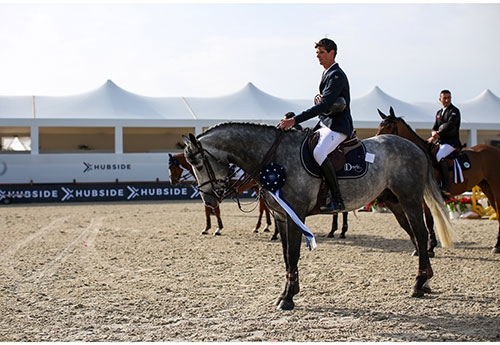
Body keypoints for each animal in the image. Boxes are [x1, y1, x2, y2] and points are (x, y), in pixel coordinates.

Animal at [183, 121, 454, 310]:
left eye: (199, 164)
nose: (209, 200)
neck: (273, 158)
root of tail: (416, 148)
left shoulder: (295, 214)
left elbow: (293, 255)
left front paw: (288, 298)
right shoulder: (281, 217)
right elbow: (286, 256)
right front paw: (289, 292)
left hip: (410, 200)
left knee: (421, 234)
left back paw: (418, 285)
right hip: (395, 203)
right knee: (415, 236)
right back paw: (426, 280)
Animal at [376, 106, 500, 254]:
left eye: (388, 126)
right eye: (379, 125)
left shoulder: (425, 196)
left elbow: (429, 221)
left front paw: (430, 248)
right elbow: (428, 221)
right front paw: (429, 247)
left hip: (495, 186)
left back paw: (497, 246)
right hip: (486, 187)